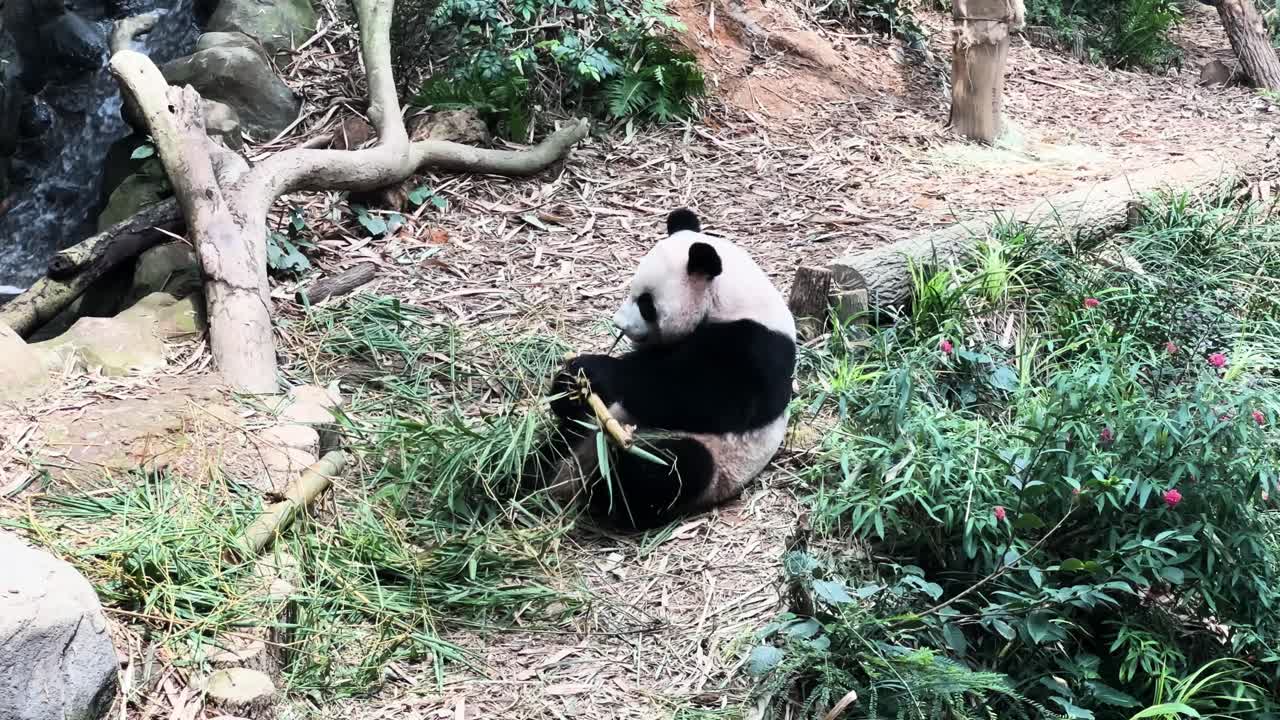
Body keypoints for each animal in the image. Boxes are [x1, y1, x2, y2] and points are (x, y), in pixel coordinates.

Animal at [533, 208, 797, 530]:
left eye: (646, 304)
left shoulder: (756, 346)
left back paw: (607, 486)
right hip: (586, 432)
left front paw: (596, 373)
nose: (619, 324)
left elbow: (702, 397)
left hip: (718, 461)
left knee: (669, 470)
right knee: (558, 443)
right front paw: (569, 385)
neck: (729, 297)